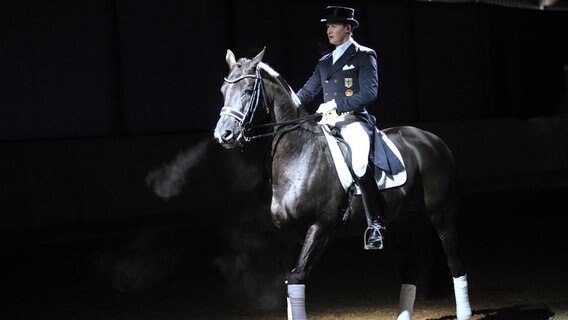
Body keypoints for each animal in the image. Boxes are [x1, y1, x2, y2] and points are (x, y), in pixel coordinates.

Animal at [212, 48, 470, 320]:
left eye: (248, 90)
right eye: (223, 90)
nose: (223, 135)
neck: (299, 154)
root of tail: (432, 139)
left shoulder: (322, 227)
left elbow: (296, 277)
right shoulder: (292, 236)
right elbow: (289, 280)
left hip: (442, 214)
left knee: (455, 262)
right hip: (399, 223)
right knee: (410, 270)